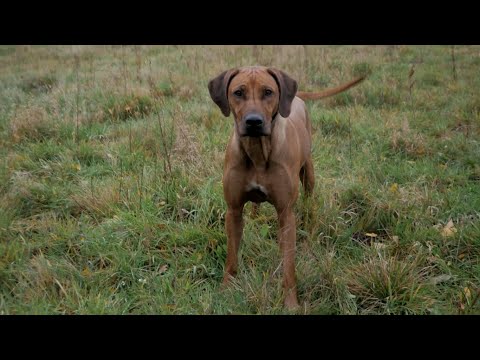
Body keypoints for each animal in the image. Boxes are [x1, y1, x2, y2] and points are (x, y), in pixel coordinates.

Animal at [207, 66, 364, 308]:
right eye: (238, 92)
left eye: (268, 92)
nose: (254, 122)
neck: (258, 151)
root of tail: (297, 97)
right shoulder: (233, 211)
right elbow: (232, 256)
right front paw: (226, 291)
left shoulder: (285, 213)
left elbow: (289, 264)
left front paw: (290, 302)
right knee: (255, 206)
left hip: (308, 172)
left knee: (309, 199)